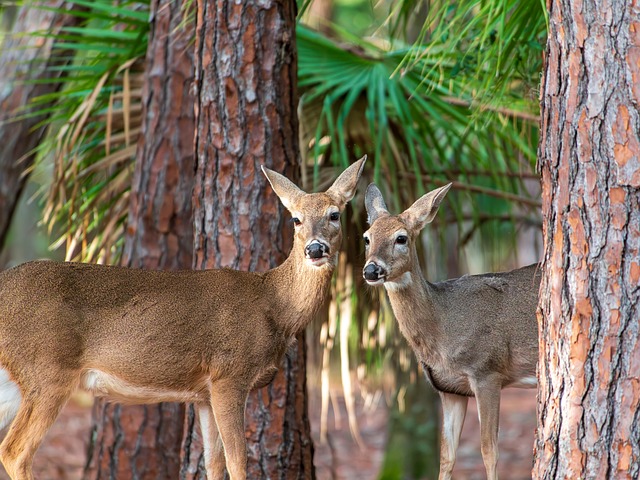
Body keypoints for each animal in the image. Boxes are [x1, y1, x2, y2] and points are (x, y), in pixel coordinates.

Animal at [0, 156, 366, 480]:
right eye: (296, 219)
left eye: (334, 215)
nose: (315, 249)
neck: (274, 305)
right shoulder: (229, 374)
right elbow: (238, 462)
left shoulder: (203, 395)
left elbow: (213, 464)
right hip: (48, 370)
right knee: (15, 451)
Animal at [362, 183, 540, 480]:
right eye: (366, 238)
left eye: (401, 238)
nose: (371, 269)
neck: (443, 325)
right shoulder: (449, 389)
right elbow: (447, 456)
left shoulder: (487, 371)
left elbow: (489, 450)